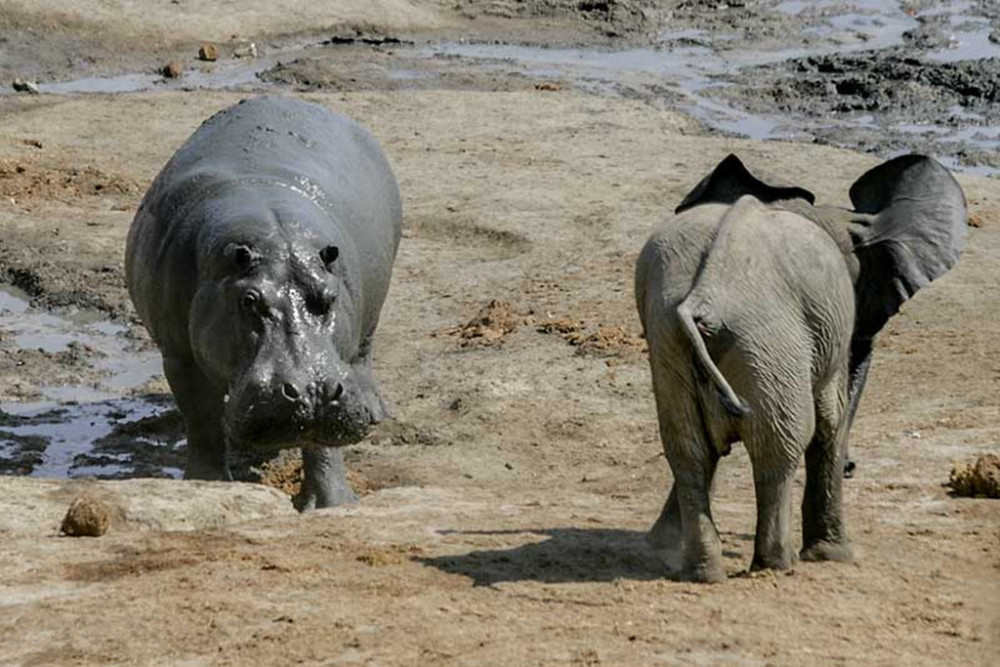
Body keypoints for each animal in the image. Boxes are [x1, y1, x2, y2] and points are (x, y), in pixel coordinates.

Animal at [634, 154, 967, 582]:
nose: (853, 467)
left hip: (672, 341)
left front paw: (661, 542)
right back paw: (778, 565)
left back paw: (702, 572)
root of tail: (705, 296)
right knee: (780, 446)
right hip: (771, 343)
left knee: (687, 448)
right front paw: (835, 556)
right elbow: (830, 420)